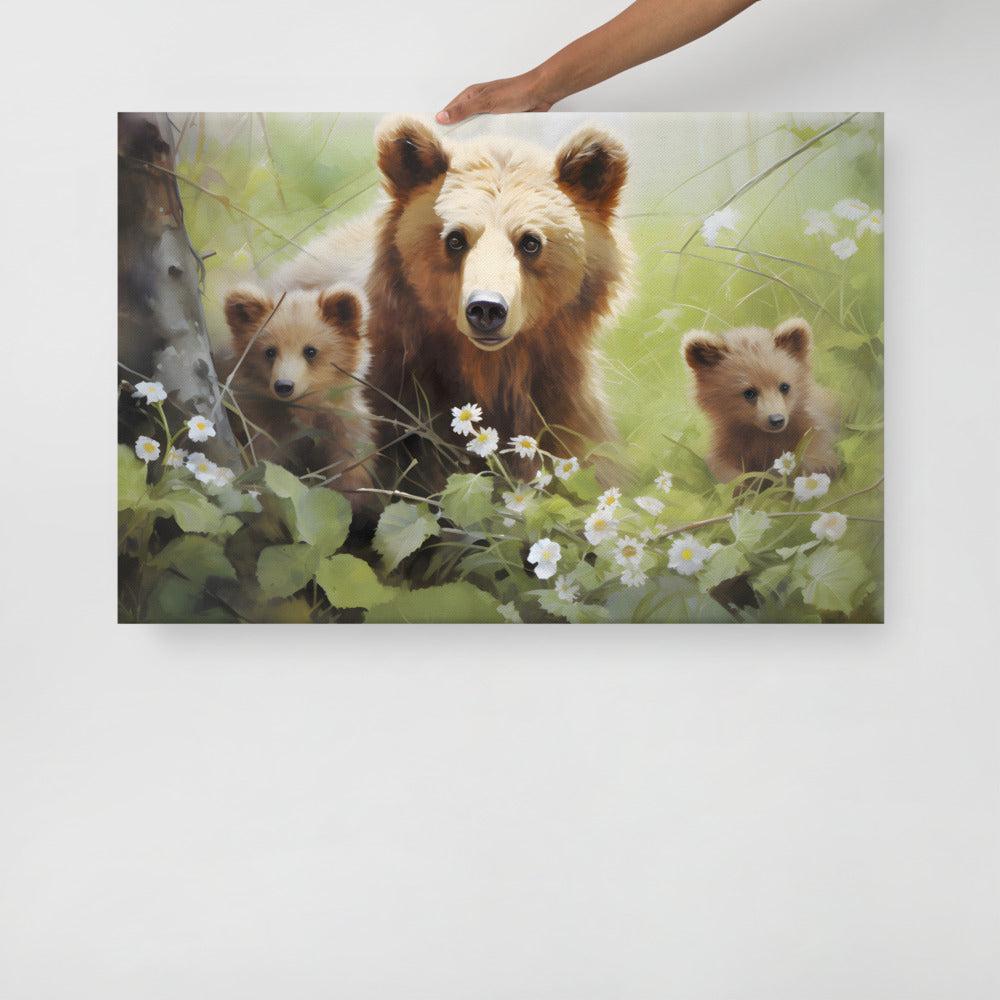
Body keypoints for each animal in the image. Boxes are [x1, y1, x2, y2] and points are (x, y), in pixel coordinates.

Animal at [221, 283, 376, 510]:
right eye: (270, 351)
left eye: (310, 351)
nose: (284, 386)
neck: (302, 409)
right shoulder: (263, 425)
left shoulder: (343, 427)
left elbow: (351, 469)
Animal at [681, 318, 840, 483]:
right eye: (749, 392)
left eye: (784, 386)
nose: (776, 420)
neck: (761, 433)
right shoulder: (729, 438)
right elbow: (722, 464)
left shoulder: (805, 423)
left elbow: (816, 441)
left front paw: (821, 466)